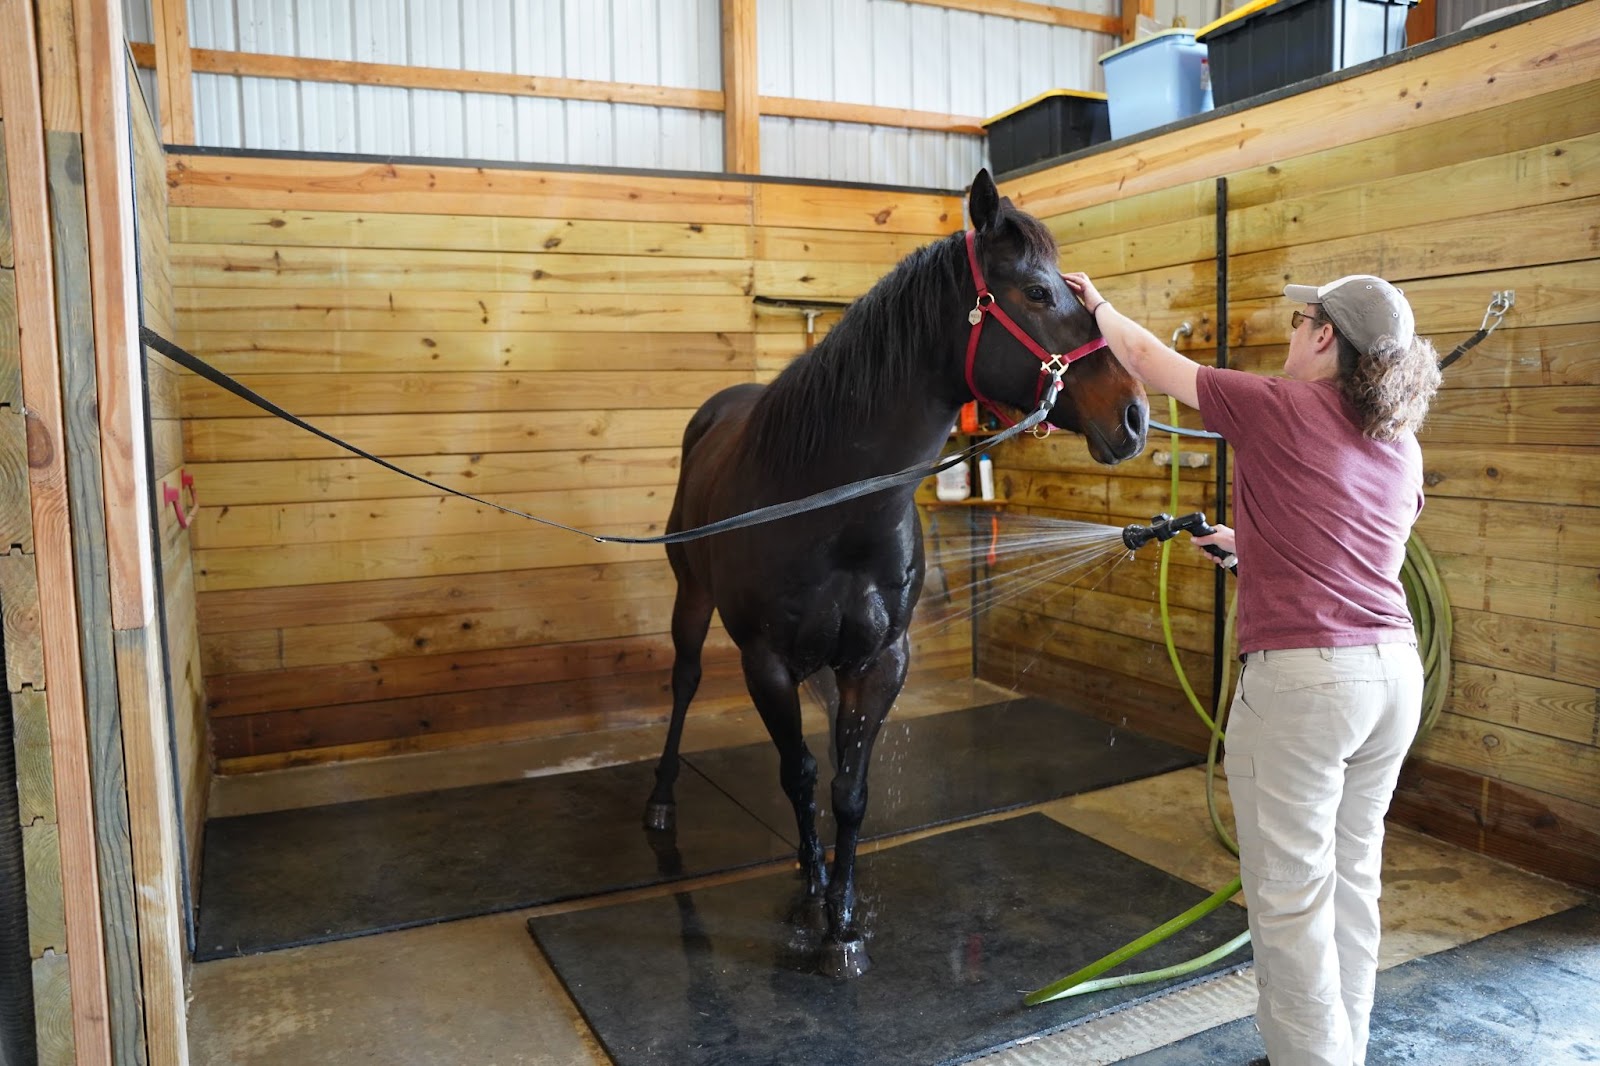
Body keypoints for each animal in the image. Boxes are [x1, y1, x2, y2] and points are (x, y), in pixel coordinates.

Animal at [642, 169, 1148, 978]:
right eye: (1038, 292)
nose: (1135, 416)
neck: (833, 504)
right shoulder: (766, 663)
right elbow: (797, 774)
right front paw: (815, 901)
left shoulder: (880, 661)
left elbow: (848, 791)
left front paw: (841, 921)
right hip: (691, 599)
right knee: (685, 683)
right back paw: (662, 798)